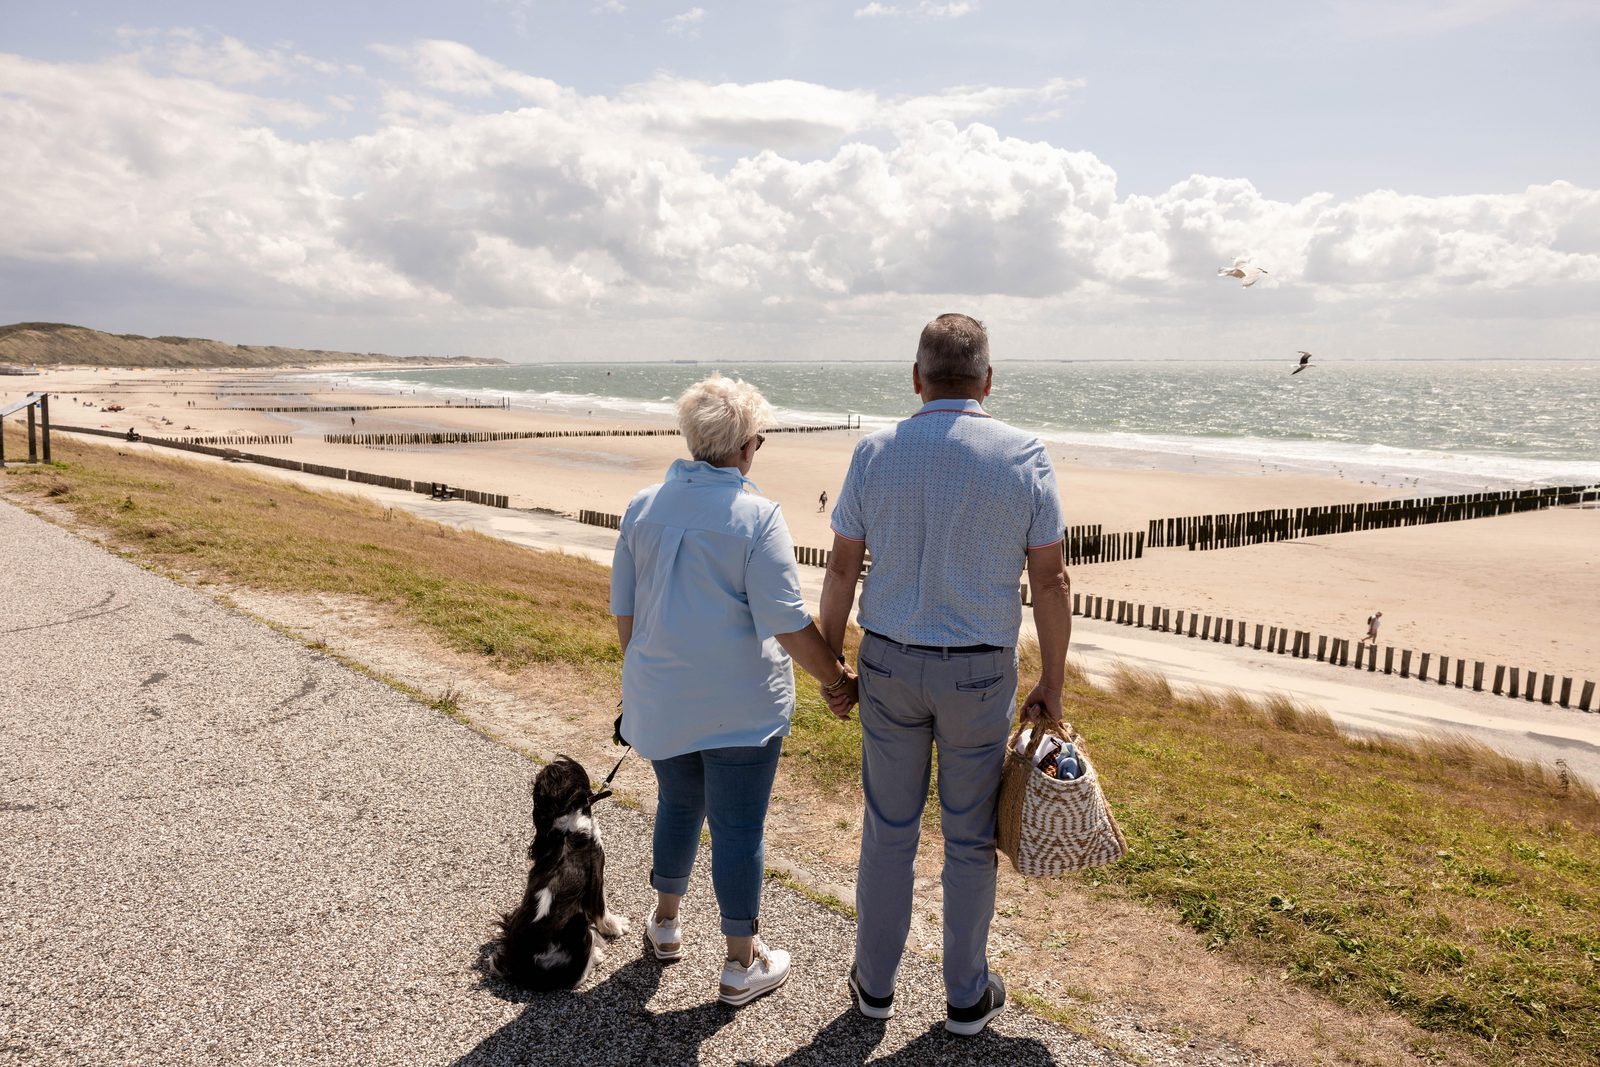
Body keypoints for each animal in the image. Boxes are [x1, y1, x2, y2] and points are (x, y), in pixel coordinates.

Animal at [486, 755, 630, 991]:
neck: (566, 824)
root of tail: (518, 964)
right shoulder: (596, 874)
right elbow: (602, 911)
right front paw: (617, 926)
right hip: (578, 925)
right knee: (575, 976)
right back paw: (595, 956)